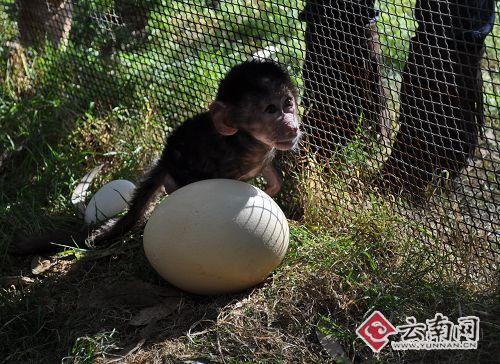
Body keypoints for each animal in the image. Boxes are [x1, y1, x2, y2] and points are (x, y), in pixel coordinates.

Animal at [12, 59, 300, 255]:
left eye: (287, 103)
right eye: (270, 110)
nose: (292, 125)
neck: (245, 142)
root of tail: (163, 161)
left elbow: (272, 178)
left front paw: (271, 188)